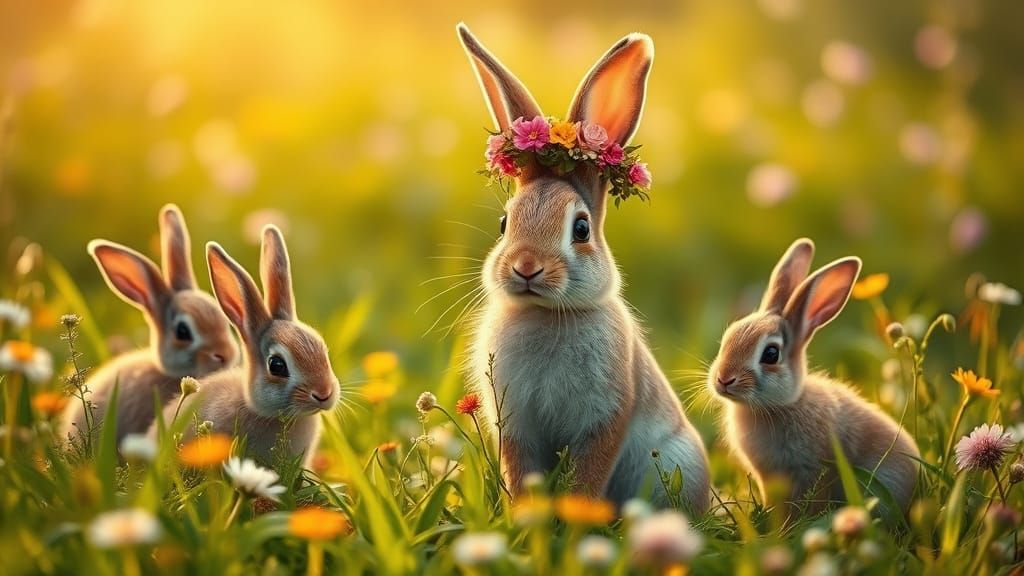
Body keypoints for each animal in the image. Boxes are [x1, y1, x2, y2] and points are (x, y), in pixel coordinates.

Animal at [457, 23, 710, 513]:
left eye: (580, 229)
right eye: (504, 224)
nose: (527, 267)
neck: (546, 314)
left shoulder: (605, 418)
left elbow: (589, 473)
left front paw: (577, 516)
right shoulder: (516, 425)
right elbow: (521, 470)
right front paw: (525, 516)